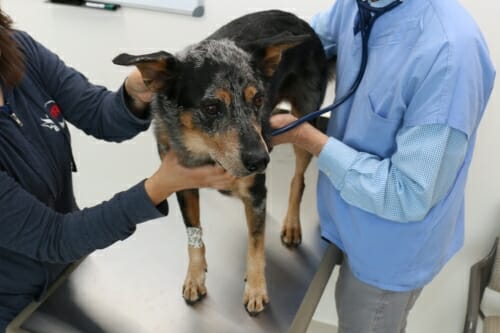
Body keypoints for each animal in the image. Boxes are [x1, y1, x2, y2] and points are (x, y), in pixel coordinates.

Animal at [114, 9, 332, 314]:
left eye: (259, 99)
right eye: (211, 107)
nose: (260, 160)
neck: (206, 153)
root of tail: (302, 23)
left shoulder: (256, 189)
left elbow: (256, 245)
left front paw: (256, 288)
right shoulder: (183, 185)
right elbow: (194, 235)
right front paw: (195, 276)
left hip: (304, 120)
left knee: (298, 180)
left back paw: (291, 223)